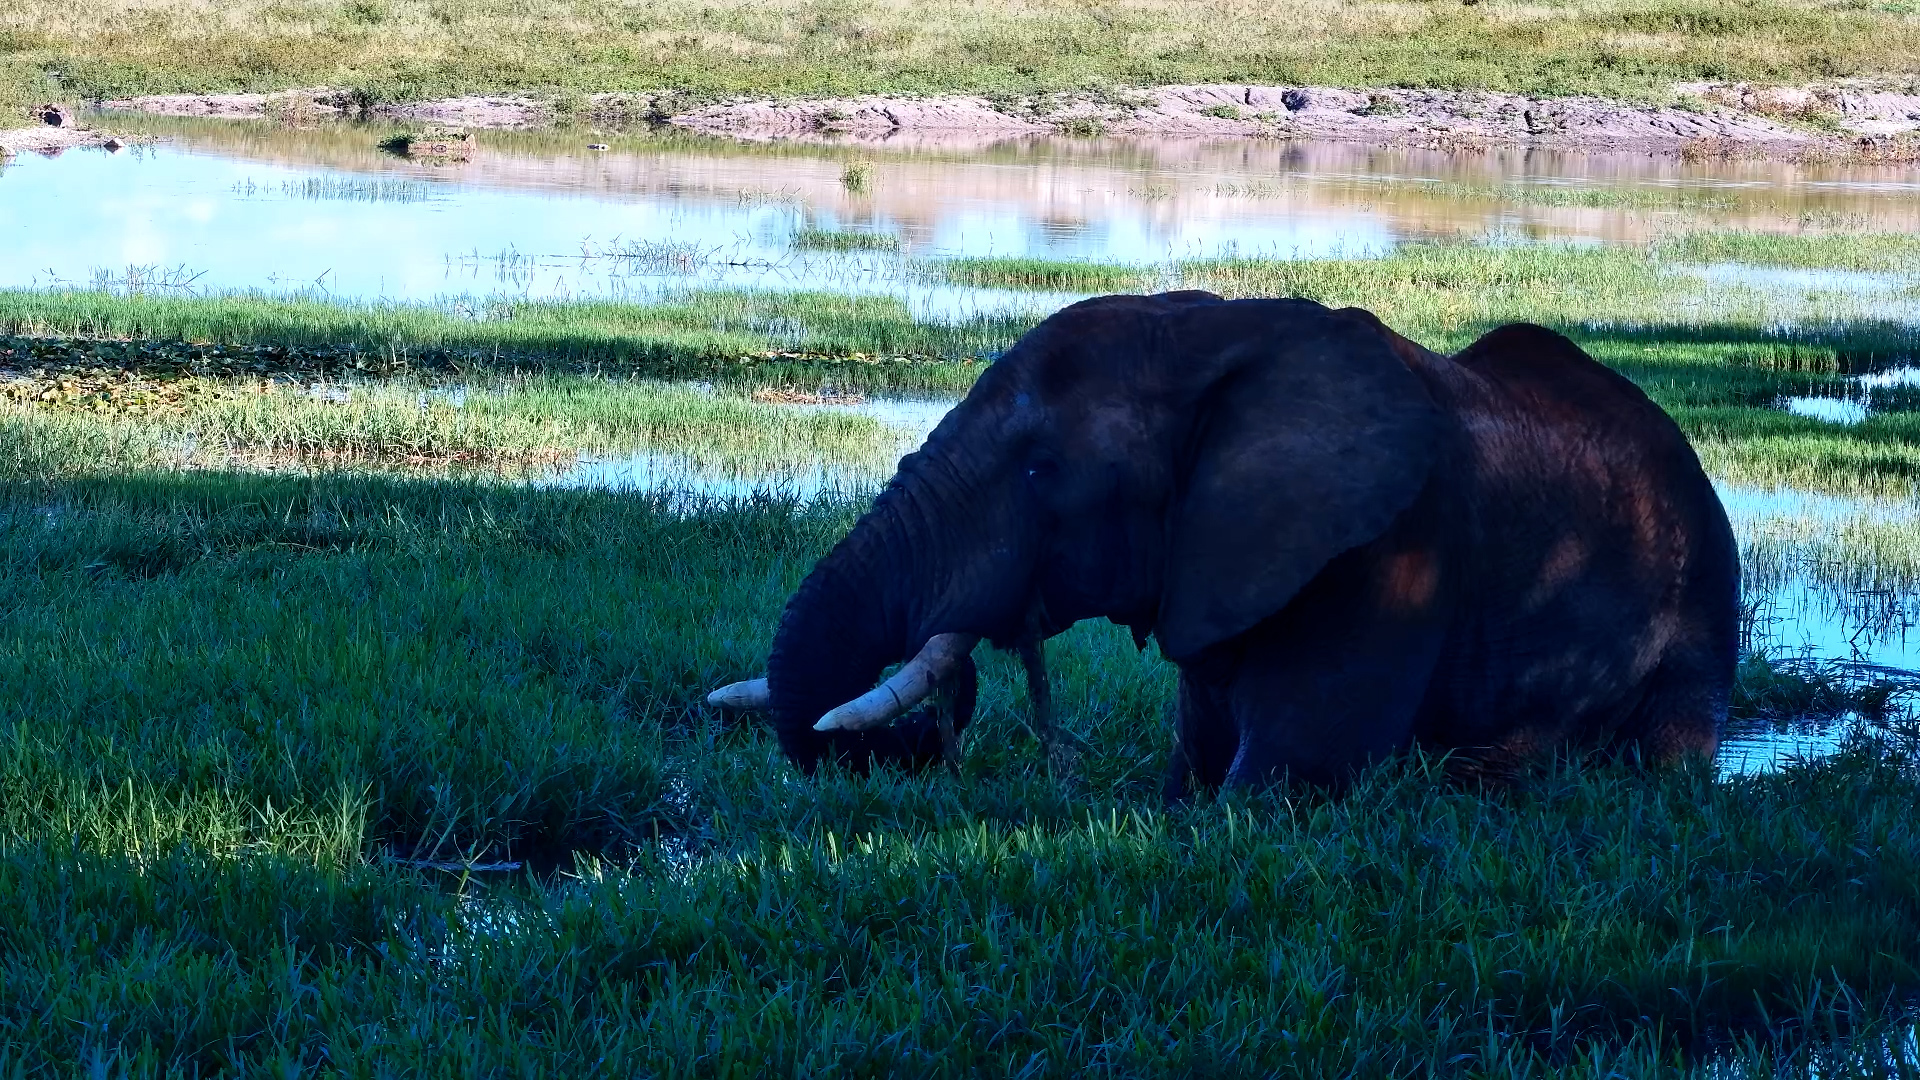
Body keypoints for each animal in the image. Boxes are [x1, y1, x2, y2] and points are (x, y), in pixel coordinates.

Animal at [709, 292, 1739, 792]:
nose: (938, 726)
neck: (1221, 333)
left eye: (1042, 471)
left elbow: (1282, 782)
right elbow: (1195, 768)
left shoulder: (1395, 554)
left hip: (1702, 602)